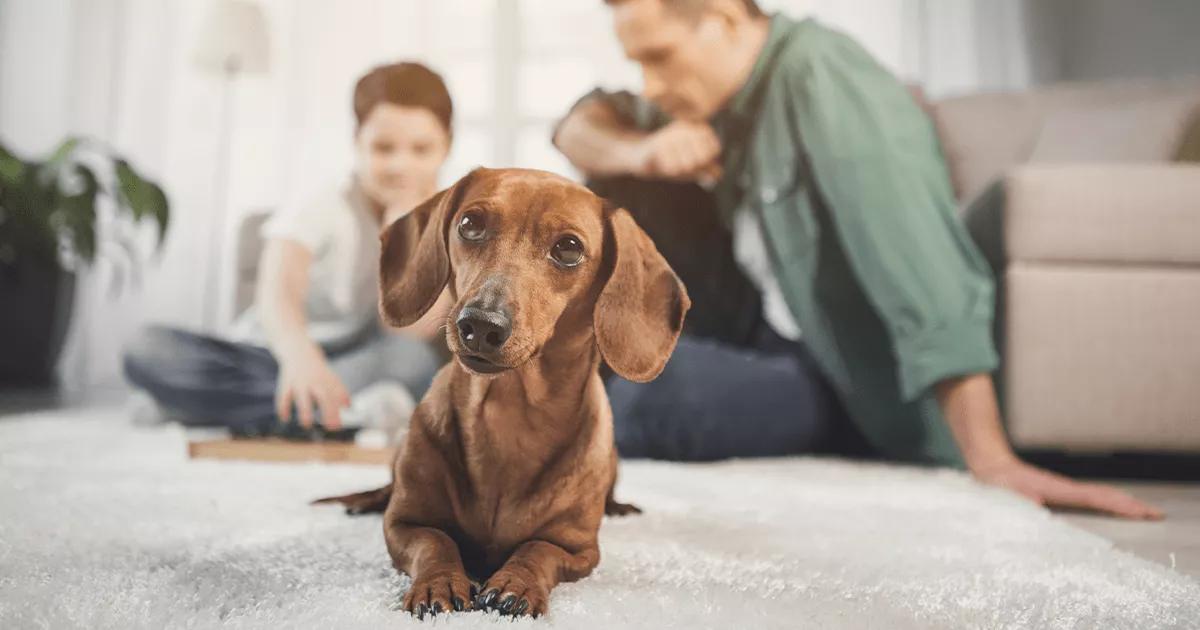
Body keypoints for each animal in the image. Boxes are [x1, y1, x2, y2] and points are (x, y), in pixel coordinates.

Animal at [314, 166, 691, 619]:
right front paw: (439, 582)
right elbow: (435, 542)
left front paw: (515, 583)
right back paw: (366, 500)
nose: (480, 324)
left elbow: (537, 549)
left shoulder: (577, 549)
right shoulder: (405, 525)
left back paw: (618, 507)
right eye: (470, 224)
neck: (508, 417)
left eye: (568, 248)